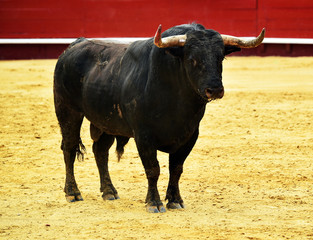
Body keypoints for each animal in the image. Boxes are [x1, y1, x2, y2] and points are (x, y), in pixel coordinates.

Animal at [53, 23, 264, 213]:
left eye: (221, 57)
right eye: (192, 59)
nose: (215, 89)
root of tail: (74, 46)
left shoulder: (190, 135)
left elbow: (176, 169)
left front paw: (175, 200)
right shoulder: (144, 136)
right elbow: (153, 169)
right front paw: (154, 203)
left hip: (106, 122)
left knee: (100, 151)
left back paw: (109, 191)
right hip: (68, 111)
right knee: (69, 148)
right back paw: (73, 193)